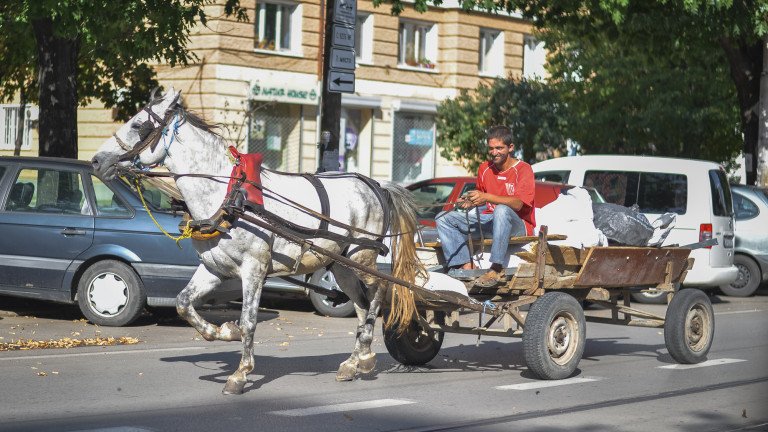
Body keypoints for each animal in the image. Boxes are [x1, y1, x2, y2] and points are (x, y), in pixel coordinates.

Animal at [93, 88, 426, 394]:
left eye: (138, 124)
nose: (96, 160)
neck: (228, 195)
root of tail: (375, 185)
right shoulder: (213, 268)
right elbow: (184, 304)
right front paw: (224, 331)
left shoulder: (254, 269)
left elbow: (249, 320)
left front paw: (240, 373)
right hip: (340, 266)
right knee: (360, 305)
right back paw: (355, 362)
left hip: (361, 256)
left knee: (378, 291)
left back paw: (366, 352)